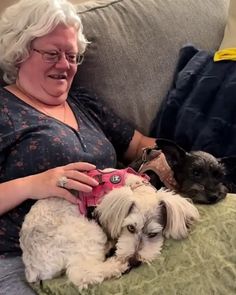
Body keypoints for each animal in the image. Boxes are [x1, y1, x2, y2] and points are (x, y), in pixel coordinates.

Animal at [19, 170, 198, 290]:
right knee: (81, 273)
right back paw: (116, 265)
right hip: (87, 232)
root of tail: (32, 267)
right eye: (130, 227)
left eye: (153, 234)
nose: (134, 261)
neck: (135, 187)